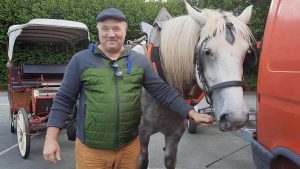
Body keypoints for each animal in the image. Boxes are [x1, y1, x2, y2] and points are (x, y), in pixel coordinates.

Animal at [136, 2, 255, 169]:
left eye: (246, 52)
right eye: (207, 52)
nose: (236, 118)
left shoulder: (175, 133)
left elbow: (169, 160)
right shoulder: (142, 135)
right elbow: (142, 161)